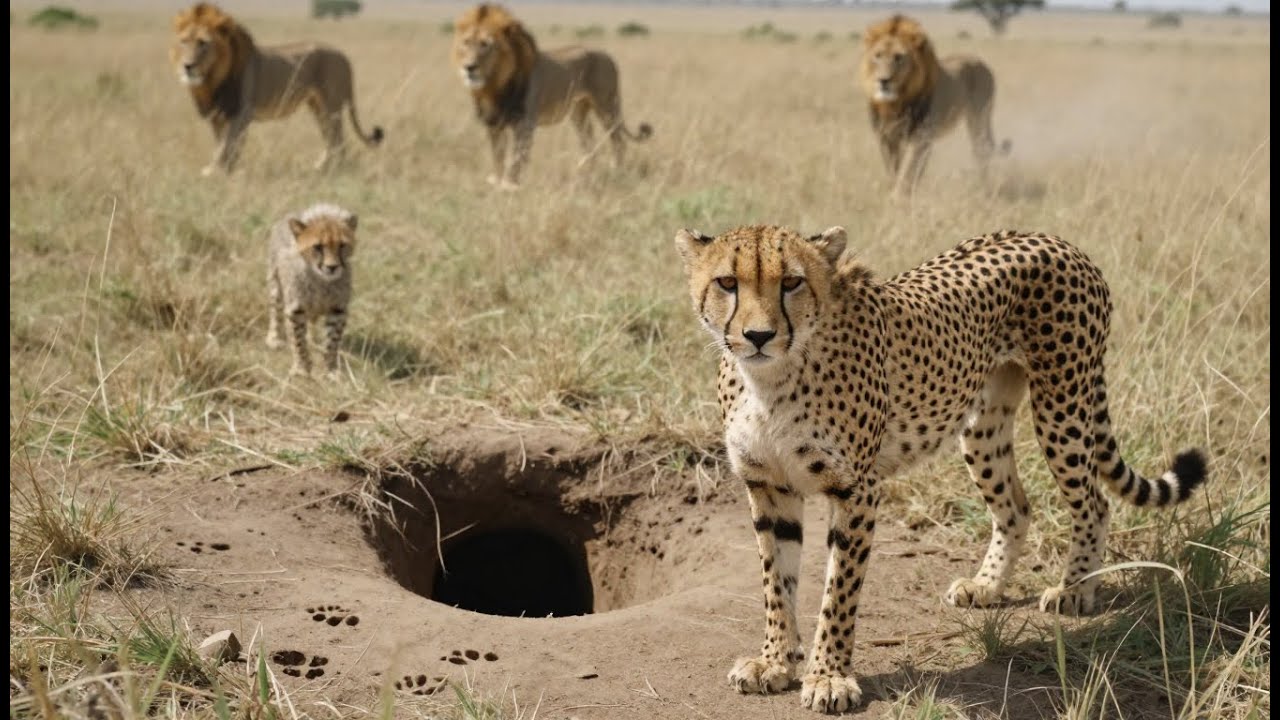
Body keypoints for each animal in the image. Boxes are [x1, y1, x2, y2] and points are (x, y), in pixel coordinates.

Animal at [170, 2, 384, 176]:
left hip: (331, 105)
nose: (187, 66)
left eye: (203, 43)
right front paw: (225, 171)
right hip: (317, 106)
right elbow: (223, 145)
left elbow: (227, 145)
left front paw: (215, 172)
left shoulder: (241, 112)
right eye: (183, 41)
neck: (211, 80)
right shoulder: (217, 115)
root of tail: (344, 56)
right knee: (331, 138)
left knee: (338, 140)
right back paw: (322, 167)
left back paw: (333, 170)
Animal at [450, 4, 652, 190]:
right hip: (579, 111)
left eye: (486, 45)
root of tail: (608, 55)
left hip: (607, 105)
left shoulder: (524, 122)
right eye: (466, 43)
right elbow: (498, 156)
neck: (494, 85)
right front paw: (497, 183)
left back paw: (615, 172)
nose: (469, 67)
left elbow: (516, 158)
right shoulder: (493, 123)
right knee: (589, 143)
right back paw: (587, 175)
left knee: (618, 142)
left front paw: (510, 185)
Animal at [673, 224, 1208, 713]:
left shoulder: (856, 490)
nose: (758, 335)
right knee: (1016, 506)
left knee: (1093, 502)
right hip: (983, 425)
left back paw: (1074, 590)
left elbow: (838, 593)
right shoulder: (769, 486)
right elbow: (775, 584)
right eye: (727, 283)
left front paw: (828, 677)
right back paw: (987, 585)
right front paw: (775, 662)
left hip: (1063, 405)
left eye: (791, 282)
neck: (769, 379)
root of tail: (1053, 238)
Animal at [858, 15, 1010, 196]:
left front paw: (897, 197)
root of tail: (977, 59)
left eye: (899, 57)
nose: (883, 80)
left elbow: (907, 171)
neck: (895, 103)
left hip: (979, 117)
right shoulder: (886, 138)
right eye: (878, 55)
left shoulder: (920, 137)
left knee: (982, 150)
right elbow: (895, 170)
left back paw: (982, 189)